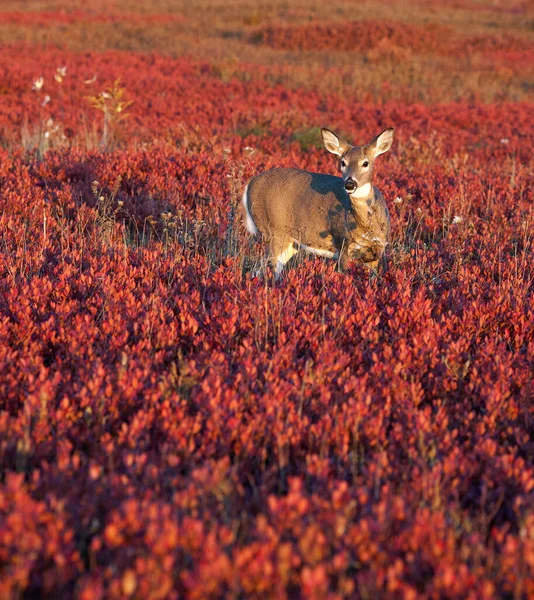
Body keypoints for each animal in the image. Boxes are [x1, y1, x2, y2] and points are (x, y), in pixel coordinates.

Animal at [245, 127, 396, 278]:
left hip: (291, 243)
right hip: (274, 231)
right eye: (343, 162)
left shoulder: (378, 252)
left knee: (259, 268)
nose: (349, 184)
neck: (366, 226)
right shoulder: (343, 243)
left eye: (365, 163)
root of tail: (249, 184)